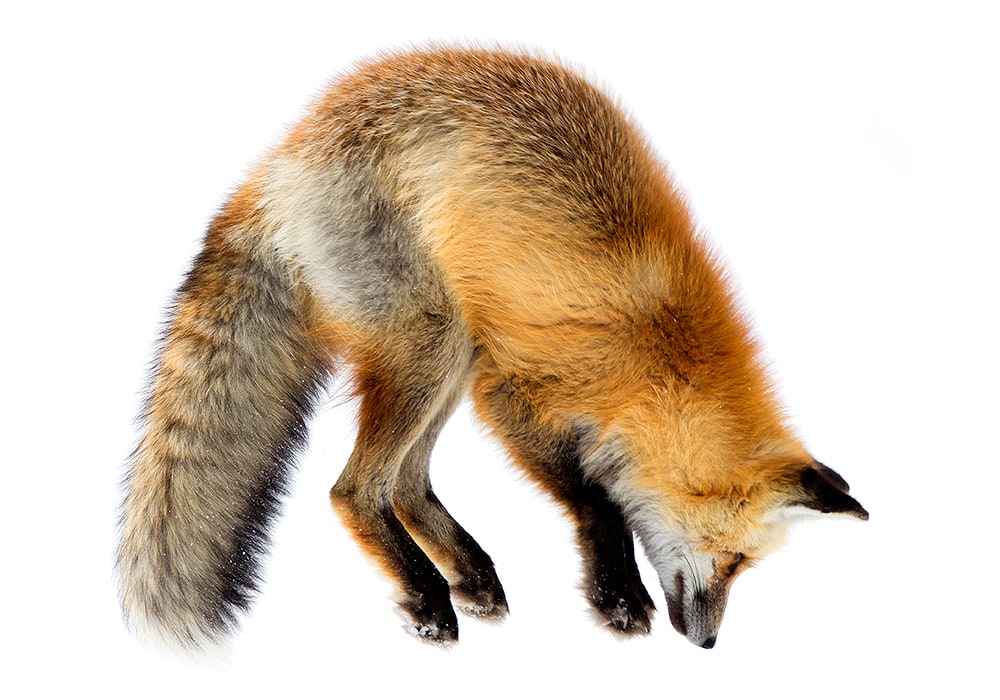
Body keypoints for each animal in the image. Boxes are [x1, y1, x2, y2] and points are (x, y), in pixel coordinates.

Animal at [117, 46, 867, 651]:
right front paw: (619, 599)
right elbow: (596, 499)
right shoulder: (516, 389)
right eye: (735, 561)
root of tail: (287, 150)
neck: (661, 354)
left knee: (407, 483)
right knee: (357, 489)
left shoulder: (511, 380)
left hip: (456, 354)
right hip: (433, 345)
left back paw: (471, 575)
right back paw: (428, 598)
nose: (709, 644)